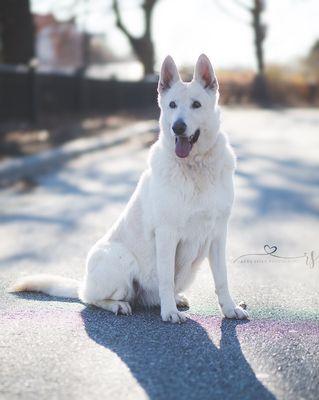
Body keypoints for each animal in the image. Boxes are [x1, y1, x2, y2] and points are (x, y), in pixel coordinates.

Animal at [10, 54, 250, 324]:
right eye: (172, 105)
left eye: (196, 105)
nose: (177, 127)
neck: (195, 167)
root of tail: (84, 282)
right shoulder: (166, 234)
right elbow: (166, 278)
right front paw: (169, 313)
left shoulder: (218, 233)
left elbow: (222, 279)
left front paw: (230, 308)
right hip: (120, 261)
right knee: (91, 299)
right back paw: (120, 305)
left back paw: (172, 299)